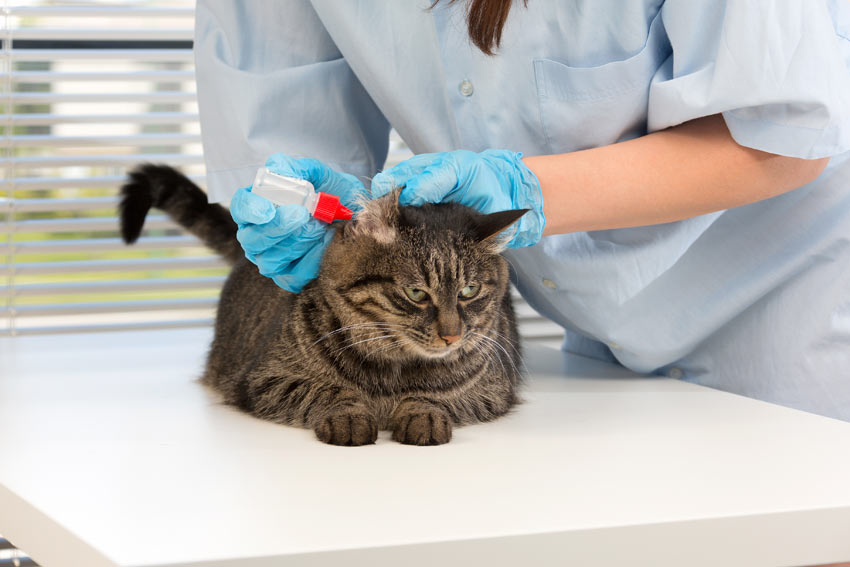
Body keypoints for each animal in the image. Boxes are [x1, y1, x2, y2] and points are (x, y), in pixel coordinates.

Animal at [119, 165, 524, 448]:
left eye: (469, 290)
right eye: (416, 293)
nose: (452, 336)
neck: (391, 370)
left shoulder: (493, 390)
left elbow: (436, 395)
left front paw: (422, 411)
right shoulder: (264, 379)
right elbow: (326, 390)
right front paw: (348, 416)